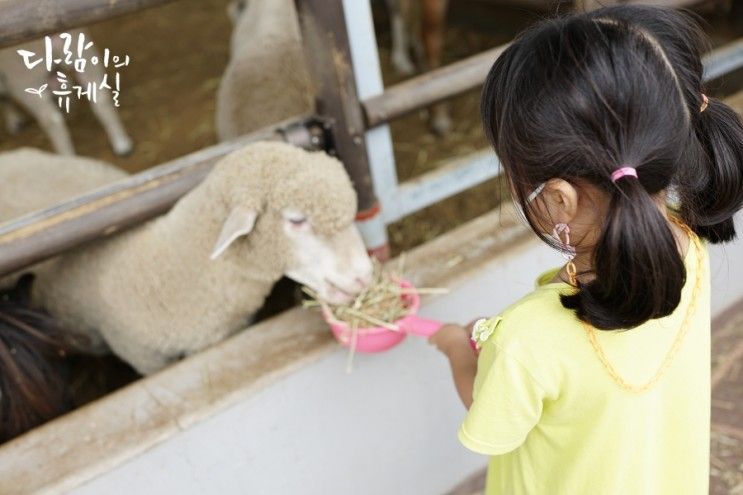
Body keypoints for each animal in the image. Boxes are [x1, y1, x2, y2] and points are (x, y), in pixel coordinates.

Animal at [0, 28, 132, 156]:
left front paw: (13, 121)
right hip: (82, 54)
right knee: (101, 99)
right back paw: (121, 143)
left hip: (26, 77)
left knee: (52, 120)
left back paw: (66, 157)